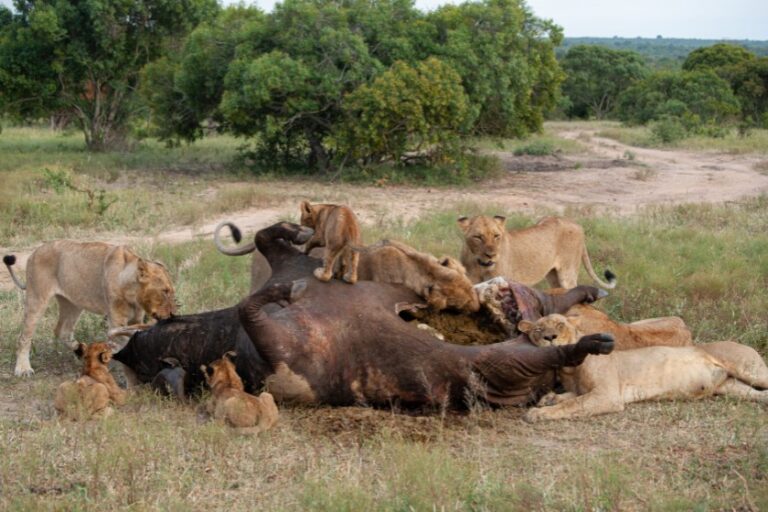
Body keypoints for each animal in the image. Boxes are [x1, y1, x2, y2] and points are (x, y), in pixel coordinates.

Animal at [3, 240, 177, 376]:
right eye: (165, 291)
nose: (172, 314)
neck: (132, 291)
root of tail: (34, 252)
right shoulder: (116, 320)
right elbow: (126, 340)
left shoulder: (136, 319)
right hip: (37, 298)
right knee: (24, 337)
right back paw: (23, 369)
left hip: (72, 304)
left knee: (61, 330)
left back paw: (80, 349)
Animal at [456, 215, 616, 290]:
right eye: (478, 237)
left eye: (496, 236)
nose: (491, 255)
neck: (479, 265)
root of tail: (578, 225)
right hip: (553, 276)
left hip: (567, 275)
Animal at [516, 314, 768, 422]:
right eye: (538, 329)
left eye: (560, 324)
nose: (550, 337)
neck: (569, 365)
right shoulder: (585, 391)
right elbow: (569, 397)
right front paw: (549, 399)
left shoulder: (608, 395)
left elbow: (573, 404)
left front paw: (539, 413)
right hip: (732, 387)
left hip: (749, 369)